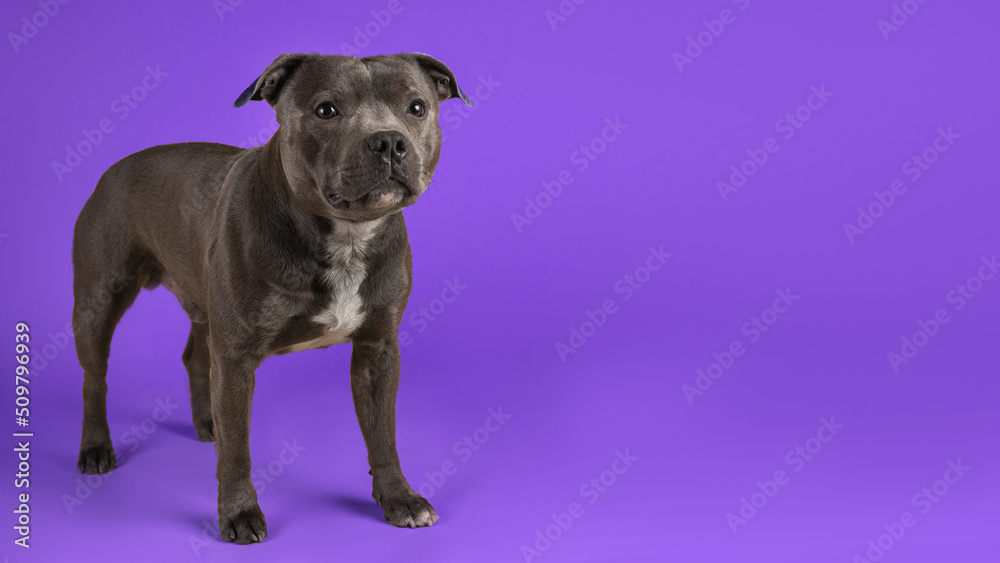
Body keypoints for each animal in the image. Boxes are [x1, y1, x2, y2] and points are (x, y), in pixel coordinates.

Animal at [72, 55, 470, 544]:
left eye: (416, 107)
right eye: (326, 111)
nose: (389, 141)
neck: (347, 236)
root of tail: (115, 168)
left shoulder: (378, 350)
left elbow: (383, 432)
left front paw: (399, 497)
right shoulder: (237, 359)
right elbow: (238, 450)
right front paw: (240, 512)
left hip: (204, 312)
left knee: (195, 358)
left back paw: (208, 422)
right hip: (97, 303)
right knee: (95, 378)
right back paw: (96, 446)